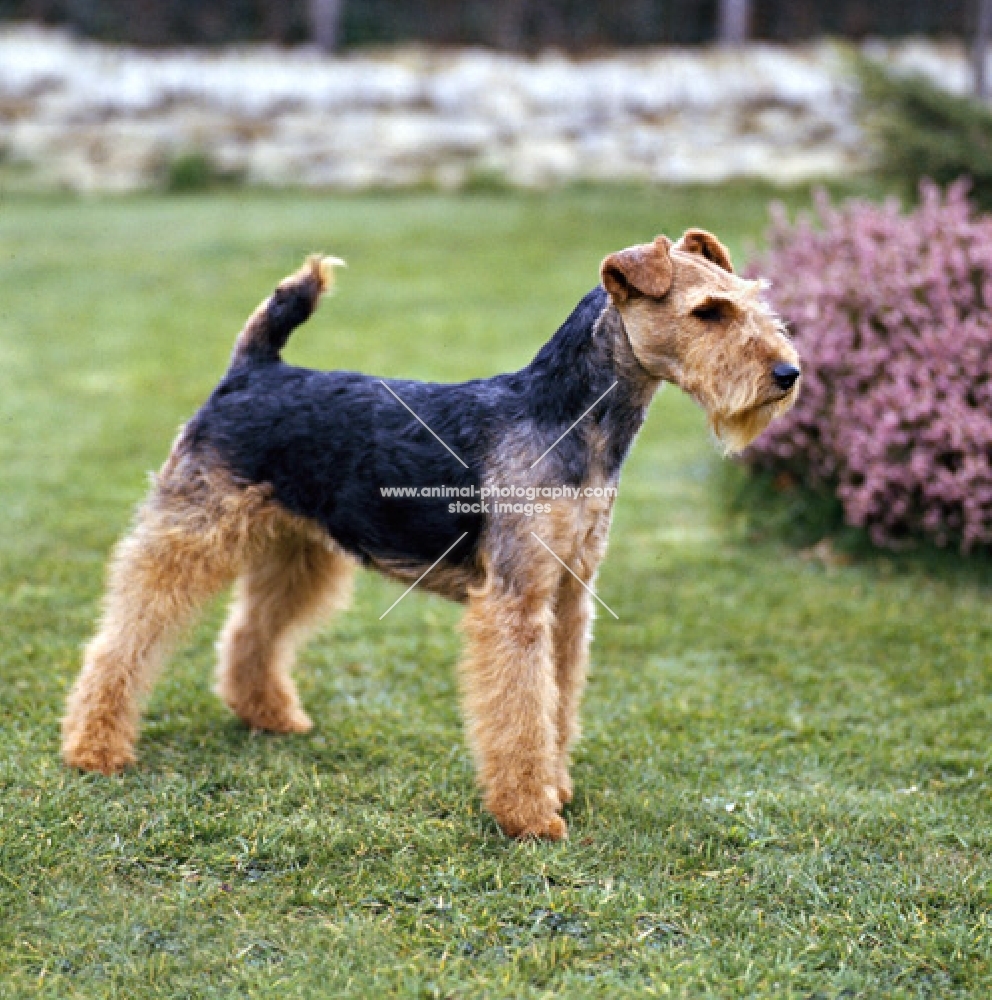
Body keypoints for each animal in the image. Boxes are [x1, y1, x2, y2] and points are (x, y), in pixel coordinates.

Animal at [62, 230, 800, 840]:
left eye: (751, 300)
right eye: (708, 311)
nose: (787, 374)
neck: (570, 420)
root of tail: (250, 370)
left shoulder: (567, 598)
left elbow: (557, 702)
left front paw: (556, 787)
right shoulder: (515, 602)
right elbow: (522, 711)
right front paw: (530, 816)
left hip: (297, 550)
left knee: (251, 633)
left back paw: (268, 715)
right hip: (190, 531)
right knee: (124, 638)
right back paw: (94, 749)